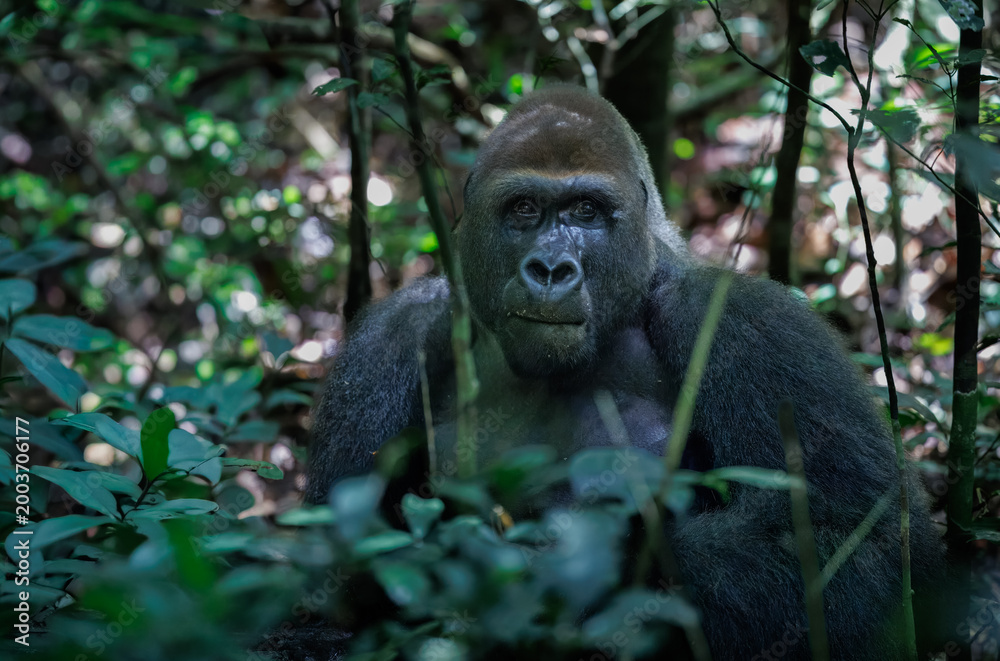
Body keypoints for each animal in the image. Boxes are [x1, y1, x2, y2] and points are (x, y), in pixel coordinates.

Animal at [307, 85, 943, 659]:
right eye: (524, 210)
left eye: (586, 211)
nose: (550, 269)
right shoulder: (389, 342)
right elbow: (328, 594)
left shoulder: (746, 320)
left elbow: (859, 538)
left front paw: (597, 559)